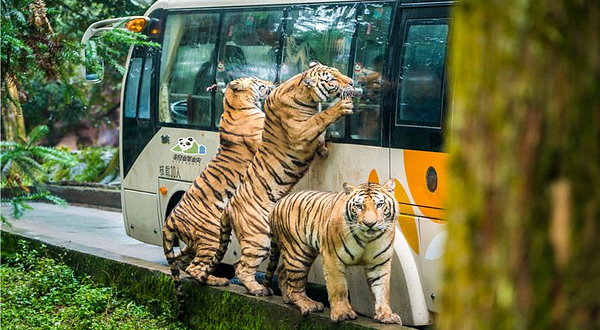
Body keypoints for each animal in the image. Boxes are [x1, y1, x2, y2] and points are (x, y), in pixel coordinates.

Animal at [163, 76, 276, 318]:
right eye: (258, 81)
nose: (273, 83)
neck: (234, 105)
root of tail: (170, 220)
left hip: (196, 241)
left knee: (183, 263)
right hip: (211, 236)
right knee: (196, 267)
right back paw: (218, 281)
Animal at [207, 62, 354, 296]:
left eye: (338, 71)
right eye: (332, 78)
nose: (351, 82)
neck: (307, 96)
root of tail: (229, 207)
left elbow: (321, 135)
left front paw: (323, 149)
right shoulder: (301, 131)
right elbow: (321, 119)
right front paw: (342, 107)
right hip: (259, 237)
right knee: (241, 267)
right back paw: (259, 289)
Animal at [264, 179, 400, 324]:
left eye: (379, 205)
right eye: (359, 206)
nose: (370, 224)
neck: (367, 239)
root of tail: (277, 204)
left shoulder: (380, 262)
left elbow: (382, 290)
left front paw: (386, 315)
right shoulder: (332, 257)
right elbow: (338, 287)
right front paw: (342, 313)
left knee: (282, 271)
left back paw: (287, 299)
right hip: (298, 253)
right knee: (295, 286)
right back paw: (309, 305)